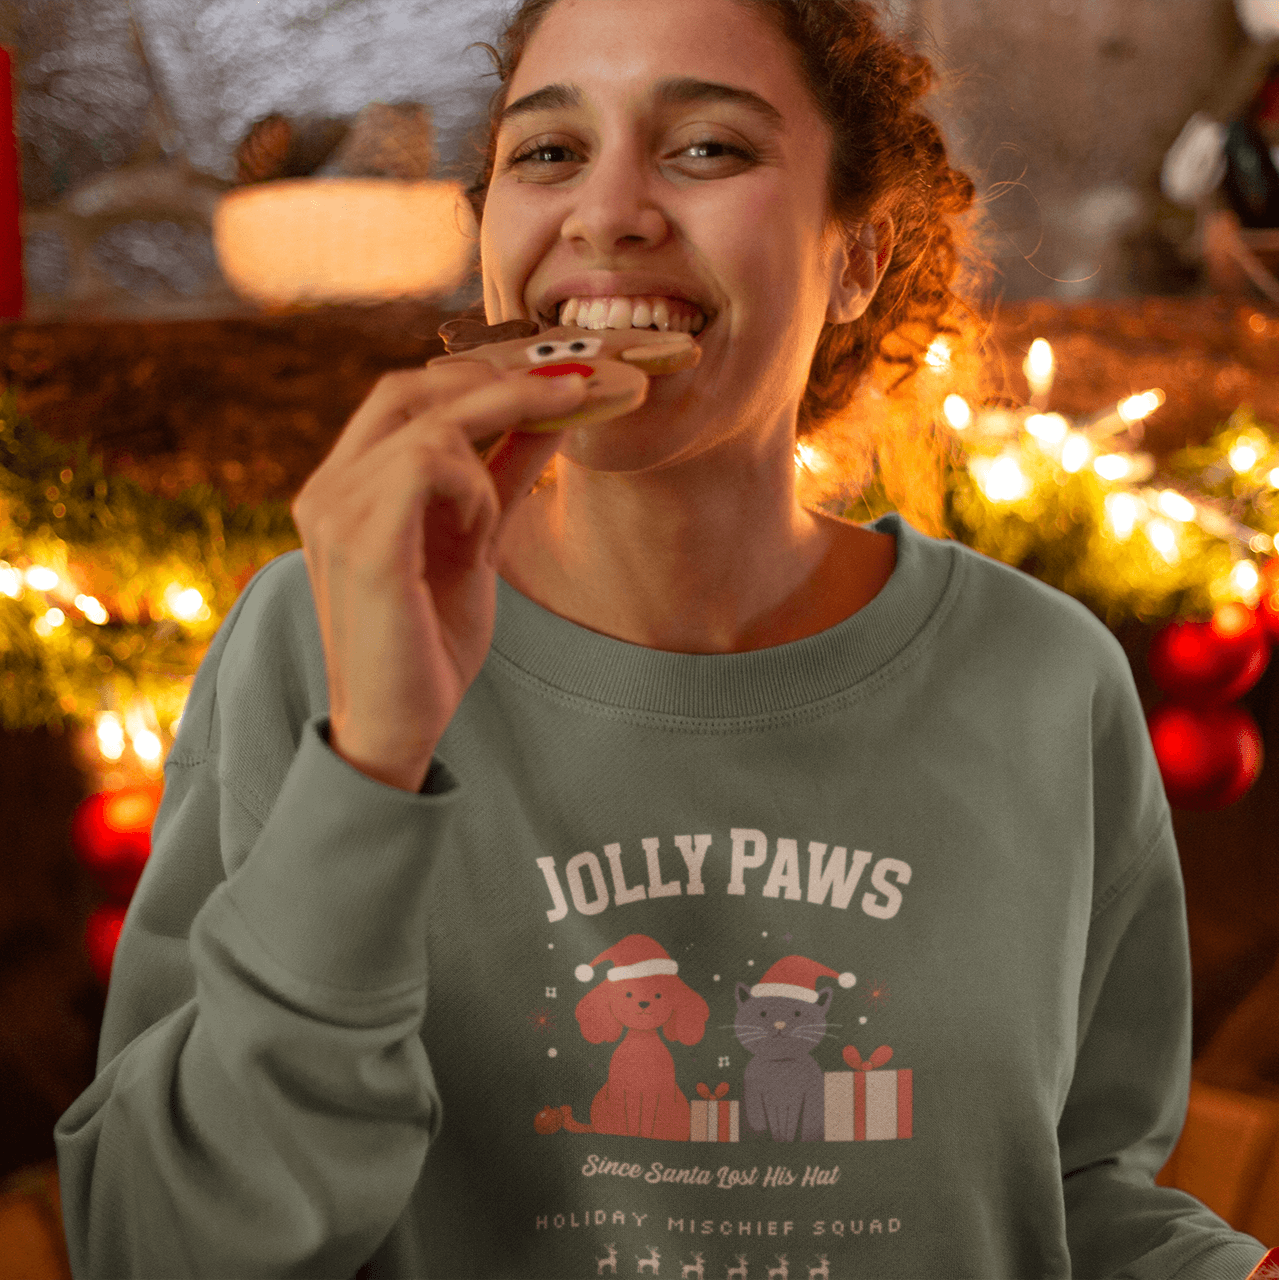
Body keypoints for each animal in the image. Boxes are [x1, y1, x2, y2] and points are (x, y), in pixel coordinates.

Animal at [573, 931, 711, 1141]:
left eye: (659, 995)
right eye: (628, 994)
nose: (644, 1003)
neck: (642, 1043)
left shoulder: (656, 1094)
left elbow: (648, 1119)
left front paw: (646, 1134)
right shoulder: (623, 1092)